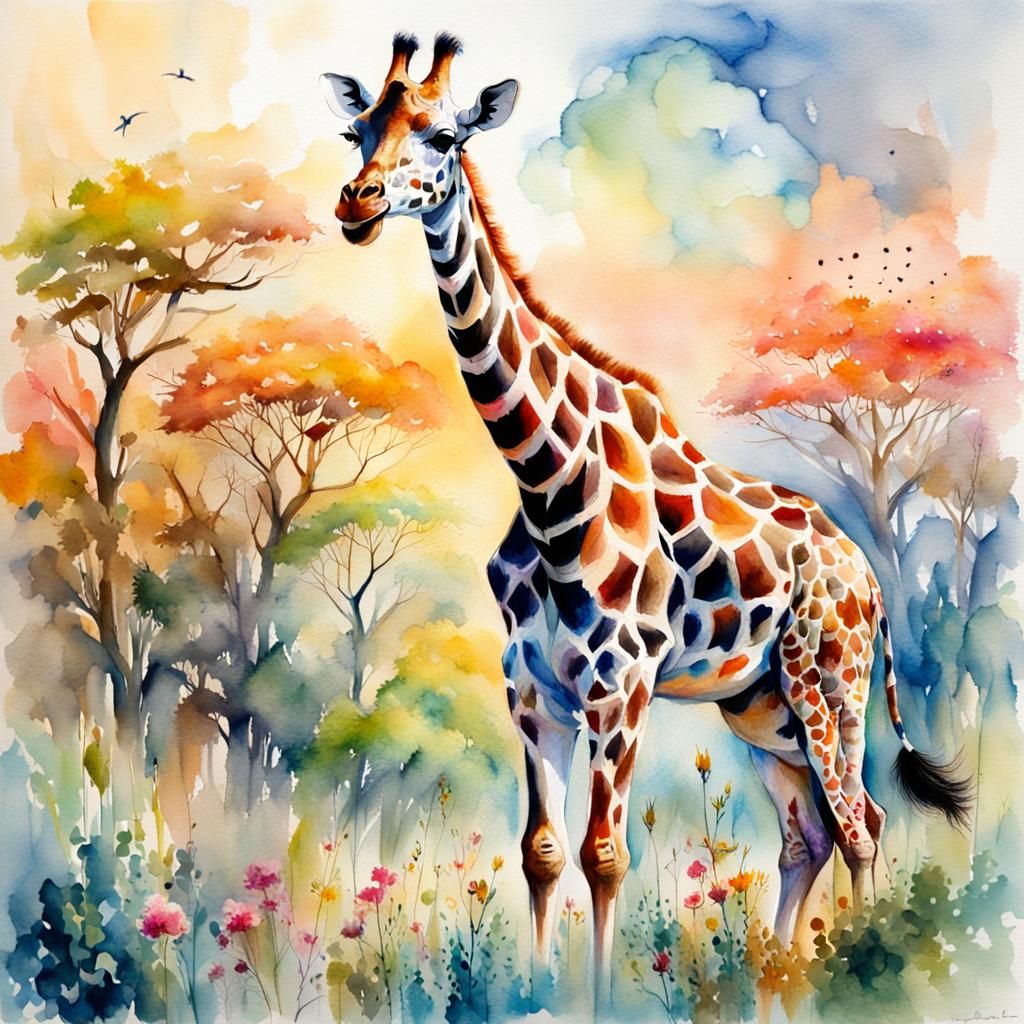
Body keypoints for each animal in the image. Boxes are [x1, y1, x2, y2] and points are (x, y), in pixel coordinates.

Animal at [320, 32, 972, 1001]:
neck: (543, 480)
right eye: (358, 129)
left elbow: (605, 856)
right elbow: (543, 852)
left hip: (833, 683)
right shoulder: (532, 693)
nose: (356, 204)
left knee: (862, 821)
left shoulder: (619, 686)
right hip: (760, 709)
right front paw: (537, 995)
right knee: (809, 834)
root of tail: (867, 579)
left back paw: (863, 967)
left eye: (443, 135)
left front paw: (595, 1000)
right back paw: (786, 971)